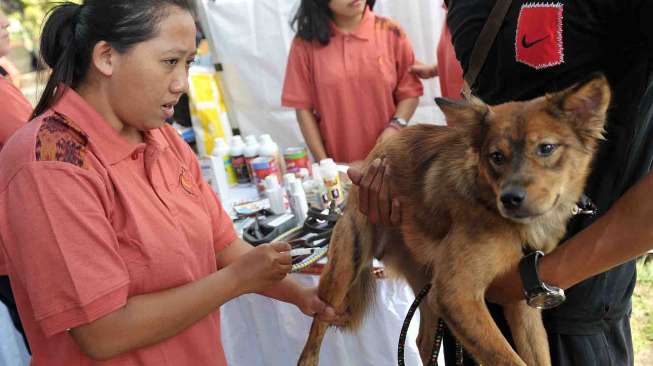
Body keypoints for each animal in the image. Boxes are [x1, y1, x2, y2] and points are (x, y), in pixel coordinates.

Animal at [296, 75, 612, 366]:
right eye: (496, 156)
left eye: (546, 148)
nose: (510, 198)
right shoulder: (455, 295)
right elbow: (508, 360)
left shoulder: (519, 297)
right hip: (344, 269)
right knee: (314, 332)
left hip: (426, 287)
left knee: (423, 341)